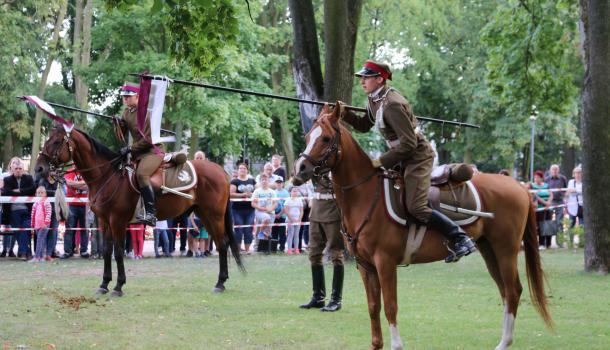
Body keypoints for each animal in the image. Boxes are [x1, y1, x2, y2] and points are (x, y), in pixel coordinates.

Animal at [35, 125, 242, 296]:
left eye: (56, 141)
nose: (39, 168)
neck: (108, 176)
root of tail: (221, 171)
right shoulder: (104, 221)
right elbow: (107, 250)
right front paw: (104, 284)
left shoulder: (117, 221)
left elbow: (118, 251)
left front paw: (118, 286)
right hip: (204, 214)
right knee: (221, 243)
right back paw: (221, 282)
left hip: (214, 215)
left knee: (223, 244)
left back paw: (220, 283)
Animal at [292, 104, 552, 350]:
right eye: (307, 136)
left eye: (326, 138)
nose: (299, 170)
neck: (365, 194)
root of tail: (518, 185)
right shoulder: (365, 266)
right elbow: (373, 306)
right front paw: (376, 344)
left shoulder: (385, 262)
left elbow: (391, 306)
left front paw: (396, 345)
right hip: (489, 250)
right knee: (506, 292)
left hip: (506, 250)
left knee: (513, 290)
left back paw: (505, 341)